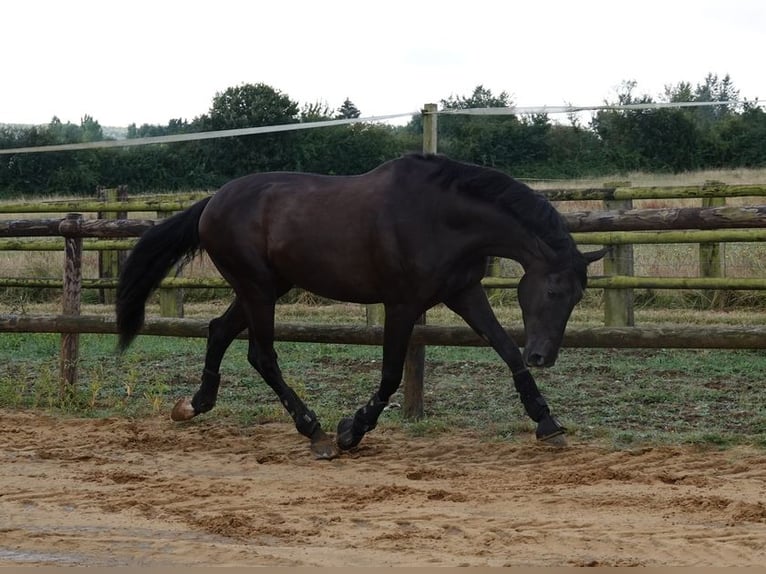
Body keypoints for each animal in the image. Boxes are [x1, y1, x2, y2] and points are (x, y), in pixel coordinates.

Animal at [117, 153, 608, 460]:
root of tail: (212, 202)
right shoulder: (403, 303)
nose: (544, 355)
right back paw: (315, 433)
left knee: (219, 330)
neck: (442, 216)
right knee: (262, 355)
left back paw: (193, 405)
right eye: (552, 291)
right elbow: (391, 373)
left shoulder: (464, 293)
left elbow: (506, 350)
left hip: (265, 287)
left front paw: (547, 423)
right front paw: (351, 431)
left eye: (578, 296)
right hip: (257, 289)